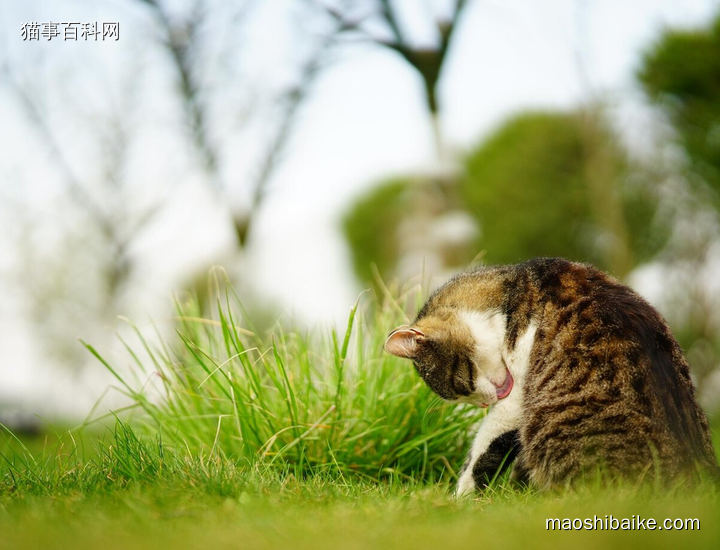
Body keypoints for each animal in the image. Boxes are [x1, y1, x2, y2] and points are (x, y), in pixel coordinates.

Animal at [386, 258, 716, 496]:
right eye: (463, 395)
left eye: (462, 384)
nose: (485, 403)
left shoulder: (514, 402)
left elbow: (481, 451)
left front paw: (459, 499)